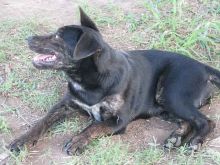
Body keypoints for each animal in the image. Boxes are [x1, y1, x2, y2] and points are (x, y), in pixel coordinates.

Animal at [8, 7, 220, 155]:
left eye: (58, 36)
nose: (28, 38)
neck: (88, 80)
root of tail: (203, 67)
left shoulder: (118, 120)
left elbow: (94, 126)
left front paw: (78, 140)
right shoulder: (65, 105)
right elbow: (42, 121)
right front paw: (22, 140)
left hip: (171, 94)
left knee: (206, 121)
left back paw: (195, 142)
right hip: (163, 106)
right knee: (188, 121)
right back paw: (175, 138)